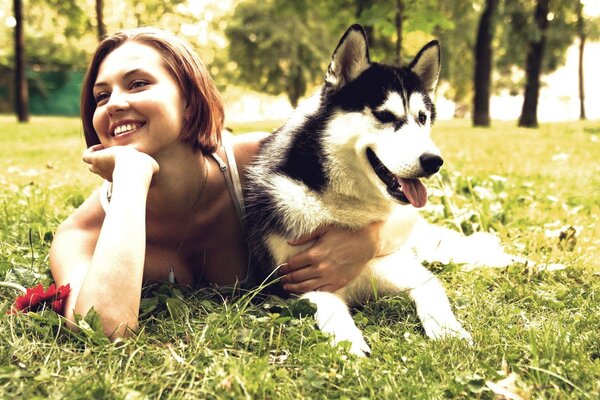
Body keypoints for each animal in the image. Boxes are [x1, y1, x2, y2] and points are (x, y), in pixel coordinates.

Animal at [243, 25, 510, 356]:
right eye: (384, 115)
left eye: (422, 118)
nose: (434, 161)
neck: (342, 205)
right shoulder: (293, 284)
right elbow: (329, 306)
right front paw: (349, 341)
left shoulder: (410, 272)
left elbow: (434, 295)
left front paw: (449, 332)